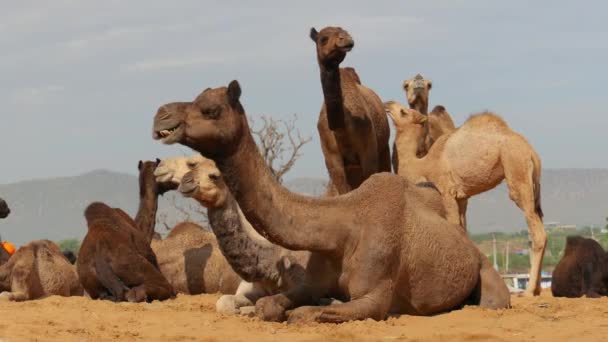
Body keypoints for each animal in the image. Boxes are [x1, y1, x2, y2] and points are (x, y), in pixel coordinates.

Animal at [151, 80, 508, 324]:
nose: (160, 114)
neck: (341, 229)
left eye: (210, 110)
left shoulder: (375, 294)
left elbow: (308, 313)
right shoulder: (308, 281)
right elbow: (270, 306)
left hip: (487, 275)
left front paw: (327, 304)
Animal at [312, 26, 392, 195]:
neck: (341, 128)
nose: (346, 39)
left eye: (345, 32)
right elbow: (344, 191)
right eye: (323, 38)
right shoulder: (332, 159)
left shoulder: (369, 153)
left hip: (383, 149)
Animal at [384, 100, 548, 296]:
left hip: (516, 168)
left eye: (403, 112)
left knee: (537, 232)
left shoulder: (446, 191)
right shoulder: (462, 198)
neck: (424, 164)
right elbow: (463, 231)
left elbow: (454, 226)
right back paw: (537, 289)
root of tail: (532, 153)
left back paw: (529, 290)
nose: (387, 104)